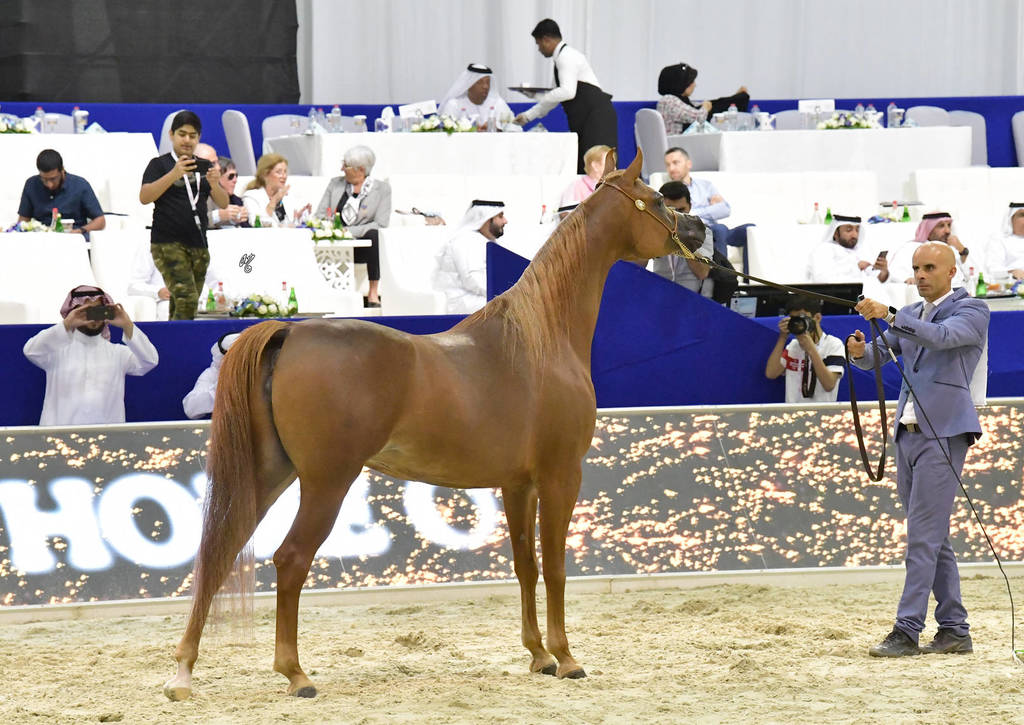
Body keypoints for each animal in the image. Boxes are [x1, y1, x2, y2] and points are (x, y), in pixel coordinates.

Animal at [163, 149, 706, 701]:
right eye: (657, 199)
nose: (700, 228)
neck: (542, 338)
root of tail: (288, 334)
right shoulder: (560, 477)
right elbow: (555, 566)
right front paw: (567, 658)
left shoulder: (518, 484)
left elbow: (525, 565)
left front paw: (538, 655)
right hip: (326, 482)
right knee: (290, 559)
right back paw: (295, 674)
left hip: (269, 473)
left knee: (218, 553)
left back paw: (183, 671)